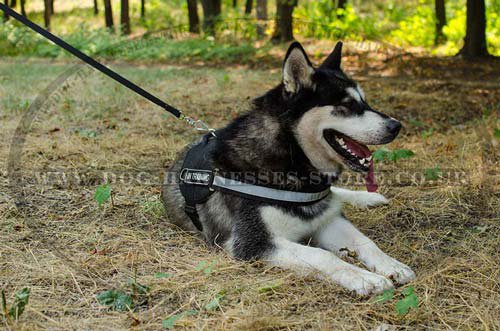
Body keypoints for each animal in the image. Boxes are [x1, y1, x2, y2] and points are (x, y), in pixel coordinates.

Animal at [162, 41, 416, 296]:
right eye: (347, 105)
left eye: (365, 102)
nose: (396, 126)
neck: (292, 163)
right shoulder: (252, 242)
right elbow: (323, 255)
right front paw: (365, 278)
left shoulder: (327, 221)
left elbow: (365, 241)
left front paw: (392, 265)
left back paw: (367, 197)